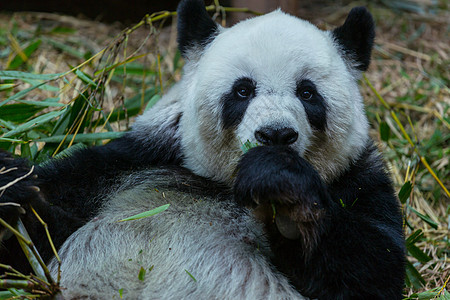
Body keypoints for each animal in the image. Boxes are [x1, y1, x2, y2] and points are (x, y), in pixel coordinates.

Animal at [0, 0, 406, 298]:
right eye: (243, 90)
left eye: (308, 93)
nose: (275, 134)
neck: (226, 183)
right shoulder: (135, 161)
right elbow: (37, 245)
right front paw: (13, 185)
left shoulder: (357, 179)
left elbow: (370, 272)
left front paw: (284, 192)